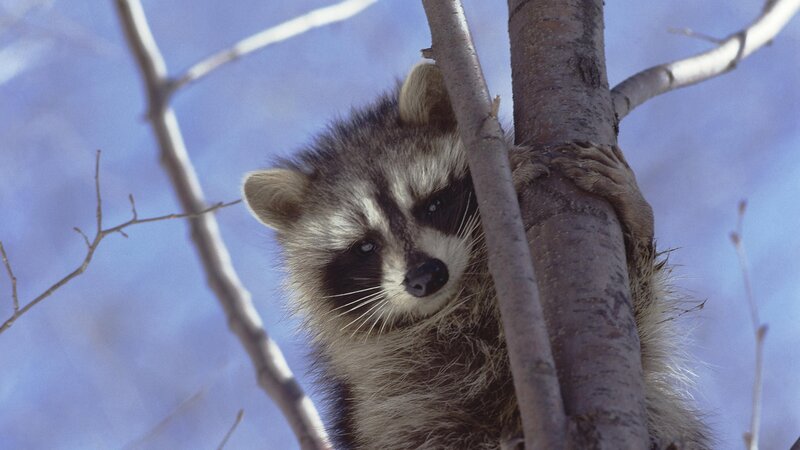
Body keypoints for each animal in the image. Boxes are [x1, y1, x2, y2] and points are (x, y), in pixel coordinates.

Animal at [242, 63, 708, 449]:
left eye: (432, 205)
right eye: (365, 247)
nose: (425, 277)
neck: (460, 302)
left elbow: (641, 331)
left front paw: (635, 219)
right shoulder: (383, 391)